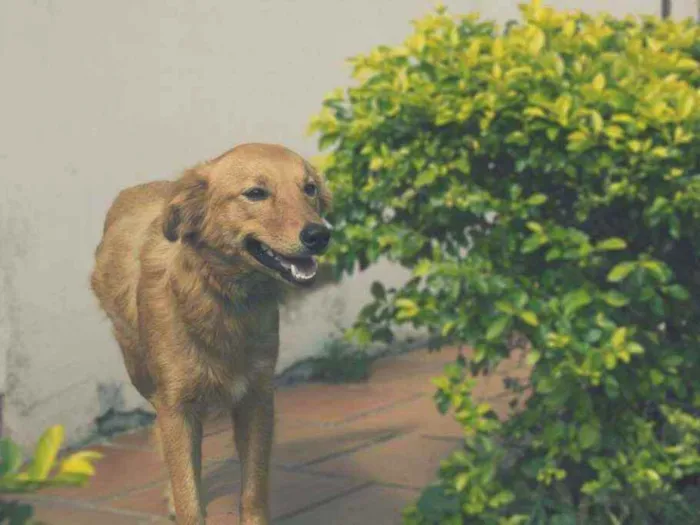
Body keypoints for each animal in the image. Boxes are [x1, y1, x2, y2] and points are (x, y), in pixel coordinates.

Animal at [89, 143, 330, 524]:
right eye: (256, 193)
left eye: (310, 189)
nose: (320, 235)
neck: (222, 298)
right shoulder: (176, 408)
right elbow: (189, 496)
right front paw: (183, 500)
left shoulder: (257, 398)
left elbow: (253, 491)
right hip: (141, 373)